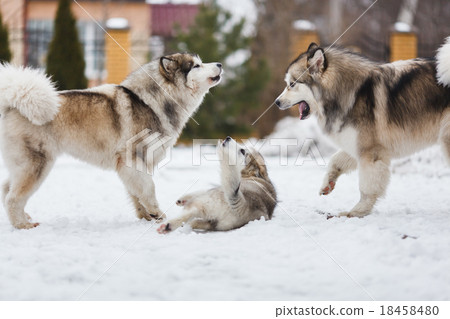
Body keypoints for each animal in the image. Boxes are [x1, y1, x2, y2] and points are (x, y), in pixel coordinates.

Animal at [0, 53, 223, 229]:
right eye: (195, 65)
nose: (220, 64)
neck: (151, 102)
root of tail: (13, 104)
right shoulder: (132, 158)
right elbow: (148, 188)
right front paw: (156, 213)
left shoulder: (136, 165)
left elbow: (137, 192)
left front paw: (145, 215)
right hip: (38, 165)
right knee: (13, 197)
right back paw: (22, 225)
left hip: (25, 166)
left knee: (6, 189)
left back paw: (23, 217)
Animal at [274, 37, 450, 218]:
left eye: (292, 84)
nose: (277, 102)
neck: (348, 92)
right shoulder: (355, 143)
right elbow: (335, 160)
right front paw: (328, 183)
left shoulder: (370, 152)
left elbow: (367, 187)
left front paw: (357, 211)